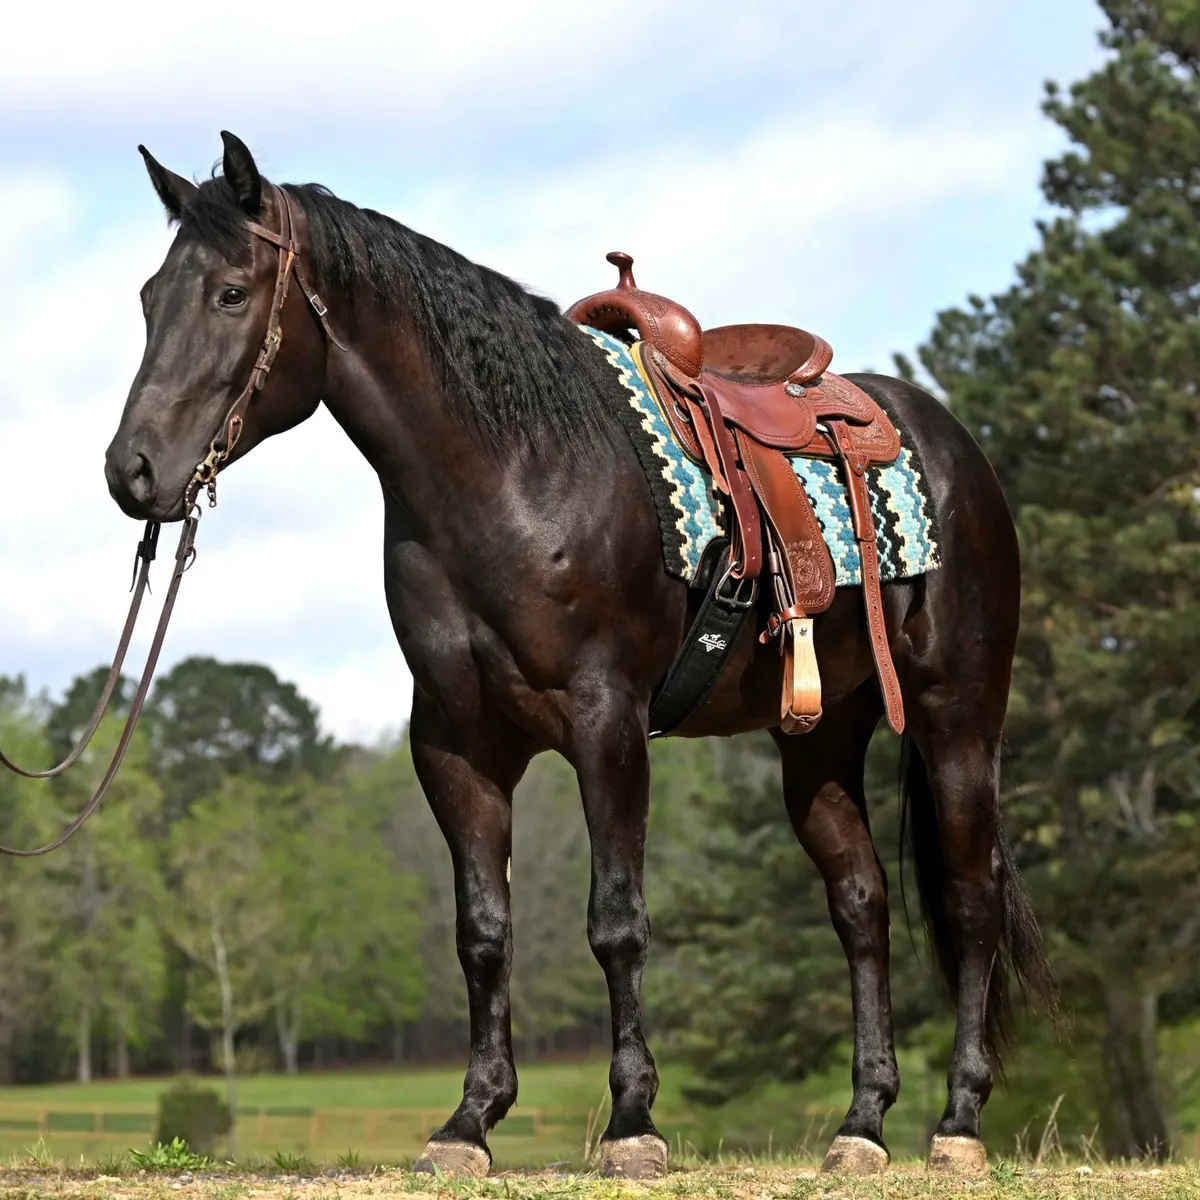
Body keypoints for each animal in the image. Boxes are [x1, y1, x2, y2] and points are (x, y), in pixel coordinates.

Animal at [104, 131, 1055, 1179]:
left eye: (232, 292)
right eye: (150, 296)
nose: (132, 471)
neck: (515, 473)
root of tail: (950, 442)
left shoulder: (608, 725)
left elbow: (616, 922)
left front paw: (633, 1122)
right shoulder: (456, 747)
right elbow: (484, 931)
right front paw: (470, 1121)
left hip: (957, 717)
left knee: (970, 899)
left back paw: (958, 1122)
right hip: (819, 738)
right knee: (861, 905)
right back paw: (862, 1124)